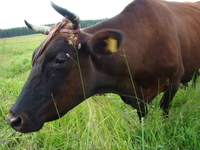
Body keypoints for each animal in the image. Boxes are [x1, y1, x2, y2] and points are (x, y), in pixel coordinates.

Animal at [7, 0, 200, 134]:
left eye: (60, 59)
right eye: (33, 57)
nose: (13, 119)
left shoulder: (173, 81)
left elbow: (164, 108)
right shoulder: (135, 96)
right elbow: (143, 115)